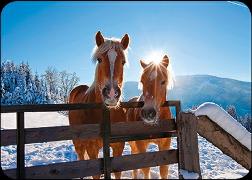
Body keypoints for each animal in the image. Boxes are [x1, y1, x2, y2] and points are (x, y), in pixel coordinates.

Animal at [68, 31, 130, 179]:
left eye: (123, 62)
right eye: (99, 59)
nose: (112, 93)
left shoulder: (119, 145)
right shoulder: (92, 148)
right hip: (77, 142)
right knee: (81, 159)